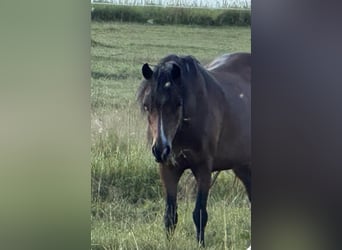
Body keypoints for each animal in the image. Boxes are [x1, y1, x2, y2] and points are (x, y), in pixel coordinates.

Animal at [137, 52, 251, 246]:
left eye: (177, 103)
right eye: (147, 105)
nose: (160, 150)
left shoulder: (203, 169)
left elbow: (200, 214)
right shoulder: (168, 169)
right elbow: (170, 216)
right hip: (242, 166)